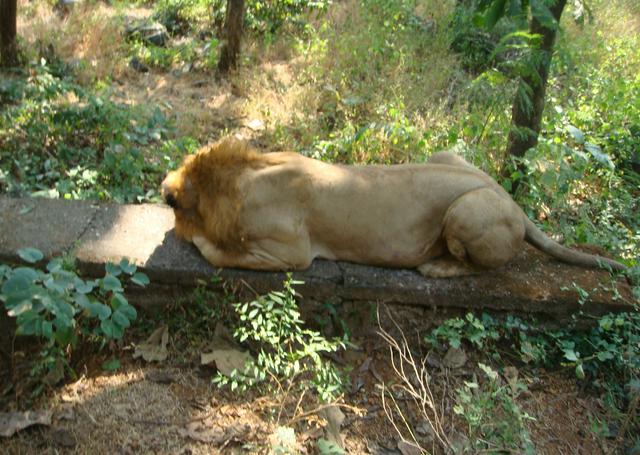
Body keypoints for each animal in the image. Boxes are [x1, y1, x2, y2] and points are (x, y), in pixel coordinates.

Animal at [160, 137, 624, 278]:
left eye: (178, 202)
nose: (164, 188)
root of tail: (516, 205)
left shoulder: (290, 253)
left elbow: (217, 254)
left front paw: (195, 240)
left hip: (466, 211)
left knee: (483, 267)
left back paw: (435, 267)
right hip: (445, 155)